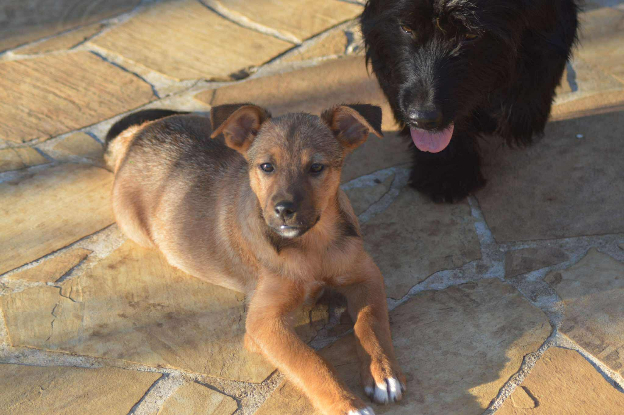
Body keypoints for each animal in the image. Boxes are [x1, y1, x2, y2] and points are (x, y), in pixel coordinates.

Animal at [104, 104, 406, 415]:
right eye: (266, 167)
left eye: (316, 168)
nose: (284, 210)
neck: (312, 246)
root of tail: (136, 136)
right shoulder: (264, 322)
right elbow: (310, 360)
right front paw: (346, 403)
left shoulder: (366, 276)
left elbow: (371, 323)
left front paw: (383, 373)